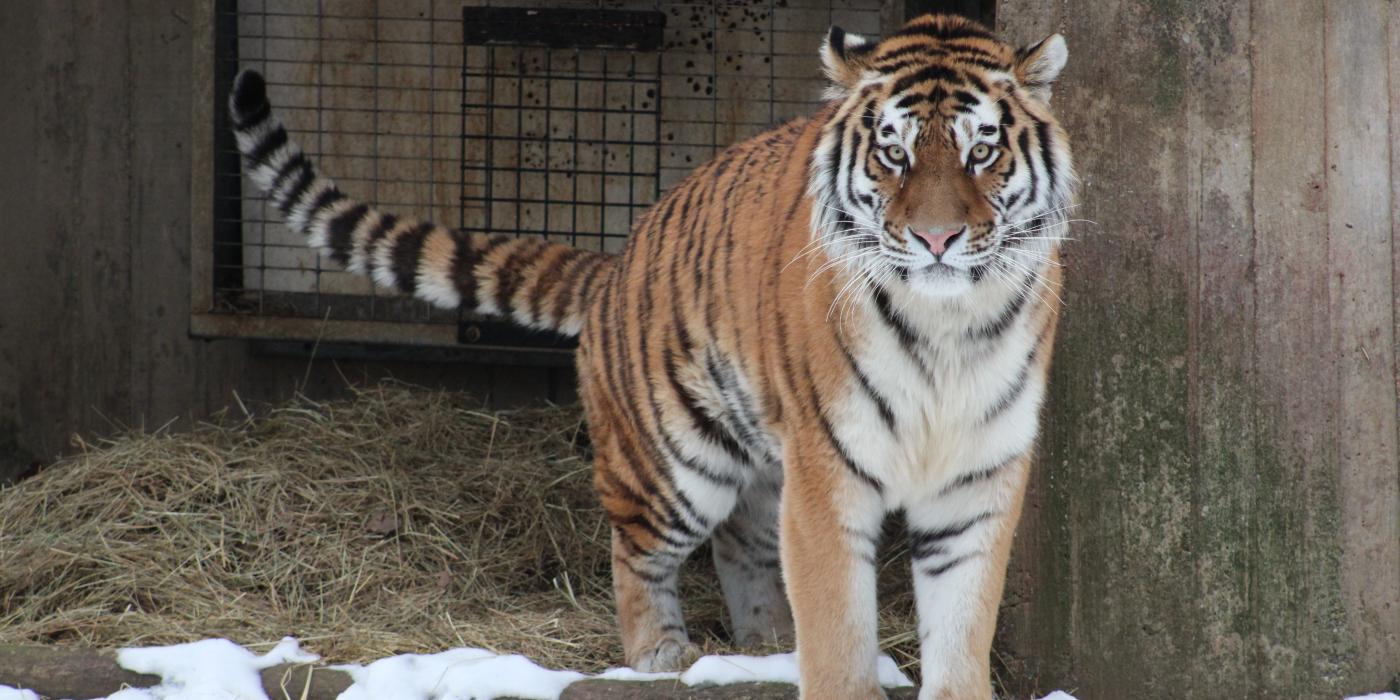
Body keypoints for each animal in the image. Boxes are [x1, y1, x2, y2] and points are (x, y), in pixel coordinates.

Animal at [229, 12, 1069, 700]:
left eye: (982, 151)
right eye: (893, 153)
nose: (936, 239)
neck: (947, 323)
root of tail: (618, 259)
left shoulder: (978, 476)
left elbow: (961, 630)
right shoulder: (829, 470)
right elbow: (838, 632)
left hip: (763, 456)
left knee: (741, 544)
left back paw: (764, 647)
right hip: (676, 460)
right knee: (634, 553)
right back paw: (664, 654)